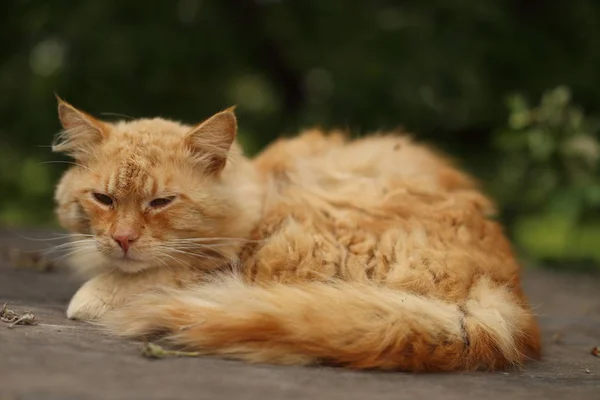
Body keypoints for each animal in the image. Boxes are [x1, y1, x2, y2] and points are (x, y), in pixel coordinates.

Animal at [51, 97, 540, 372]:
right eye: (104, 199)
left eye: (160, 202)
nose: (123, 239)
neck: (256, 187)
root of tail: (496, 299)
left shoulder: (224, 256)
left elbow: (158, 273)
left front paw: (93, 295)